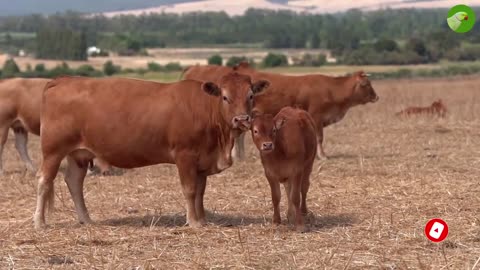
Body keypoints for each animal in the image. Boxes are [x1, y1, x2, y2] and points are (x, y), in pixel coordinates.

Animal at [32, 74, 270, 230]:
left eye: (250, 95)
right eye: (225, 97)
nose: (241, 119)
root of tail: (62, 80)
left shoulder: (202, 161)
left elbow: (200, 192)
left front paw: (202, 219)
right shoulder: (185, 156)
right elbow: (190, 190)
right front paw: (193, 222)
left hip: (79, 154)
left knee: (74, 182)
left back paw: (86, 220)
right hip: (53, 150)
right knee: (44, 181)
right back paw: (39, 222)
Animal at [183, 62, 378, 160]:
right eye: (367, 84)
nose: (376, 97)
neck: (331, 89)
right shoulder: (316, 117)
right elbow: (319, 137)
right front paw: (322, 156)